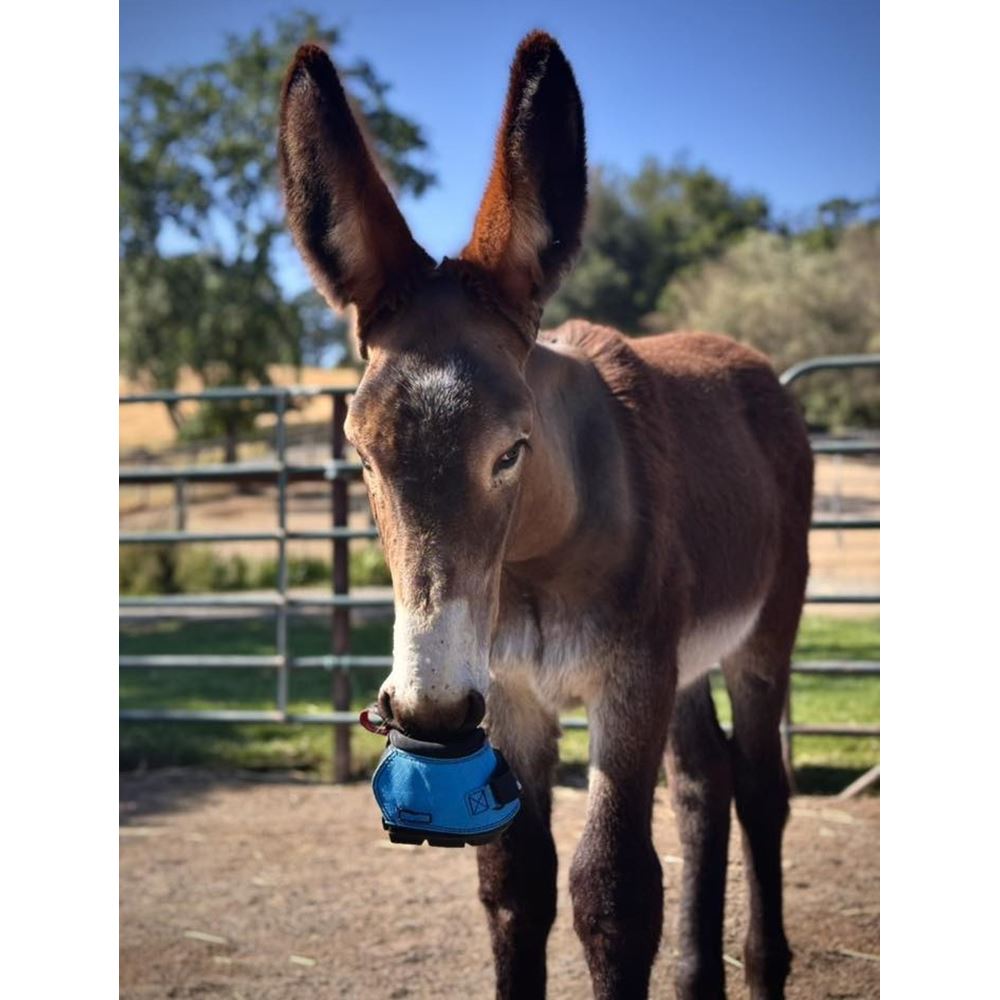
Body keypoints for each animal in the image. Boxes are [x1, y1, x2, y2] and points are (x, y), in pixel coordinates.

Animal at [278, 31, 813, 1000]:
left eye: (511, 450)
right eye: (362, 455)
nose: (430, 714)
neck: (533, 563)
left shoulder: (628, 682)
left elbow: (614, 889)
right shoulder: (519, 694)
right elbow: (515, 883)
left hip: (764, 631)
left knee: (760, 787)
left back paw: (762, 966)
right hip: (684, 661)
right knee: (702, 783)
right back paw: (698, 975)